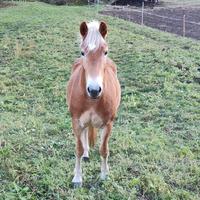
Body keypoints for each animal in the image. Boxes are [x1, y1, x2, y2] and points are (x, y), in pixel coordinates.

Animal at [67, 20, 120, 188]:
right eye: (83, 52)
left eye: (105, 52)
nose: (94, 90)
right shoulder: (76, 121)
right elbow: (78, 149)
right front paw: (77, 178)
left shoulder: (108, 124)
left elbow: (104, 150)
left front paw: (104, 175)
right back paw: (85, 154)